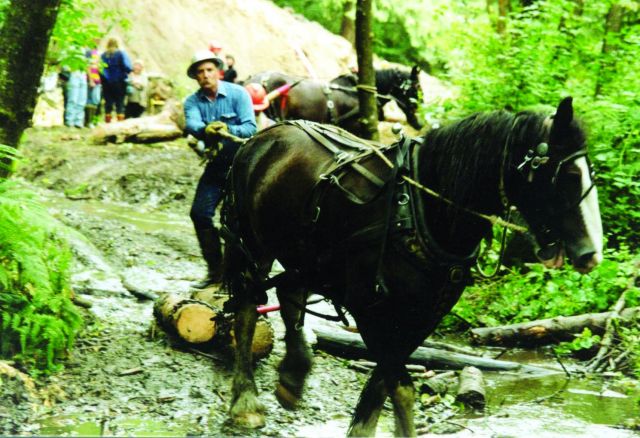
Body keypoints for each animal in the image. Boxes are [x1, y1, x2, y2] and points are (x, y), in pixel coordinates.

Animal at [221, 97, 603, 436]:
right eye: (568, 175)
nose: (592, 254)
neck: (419, 209)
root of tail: (265, 135)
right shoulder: (371, 309)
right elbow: (401, 387)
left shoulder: (423, 315)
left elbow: (381, 385)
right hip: (251, 245)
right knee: (247, 309)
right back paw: (246, 402)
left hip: (304, 256)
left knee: (289, 292)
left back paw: (293, 375)